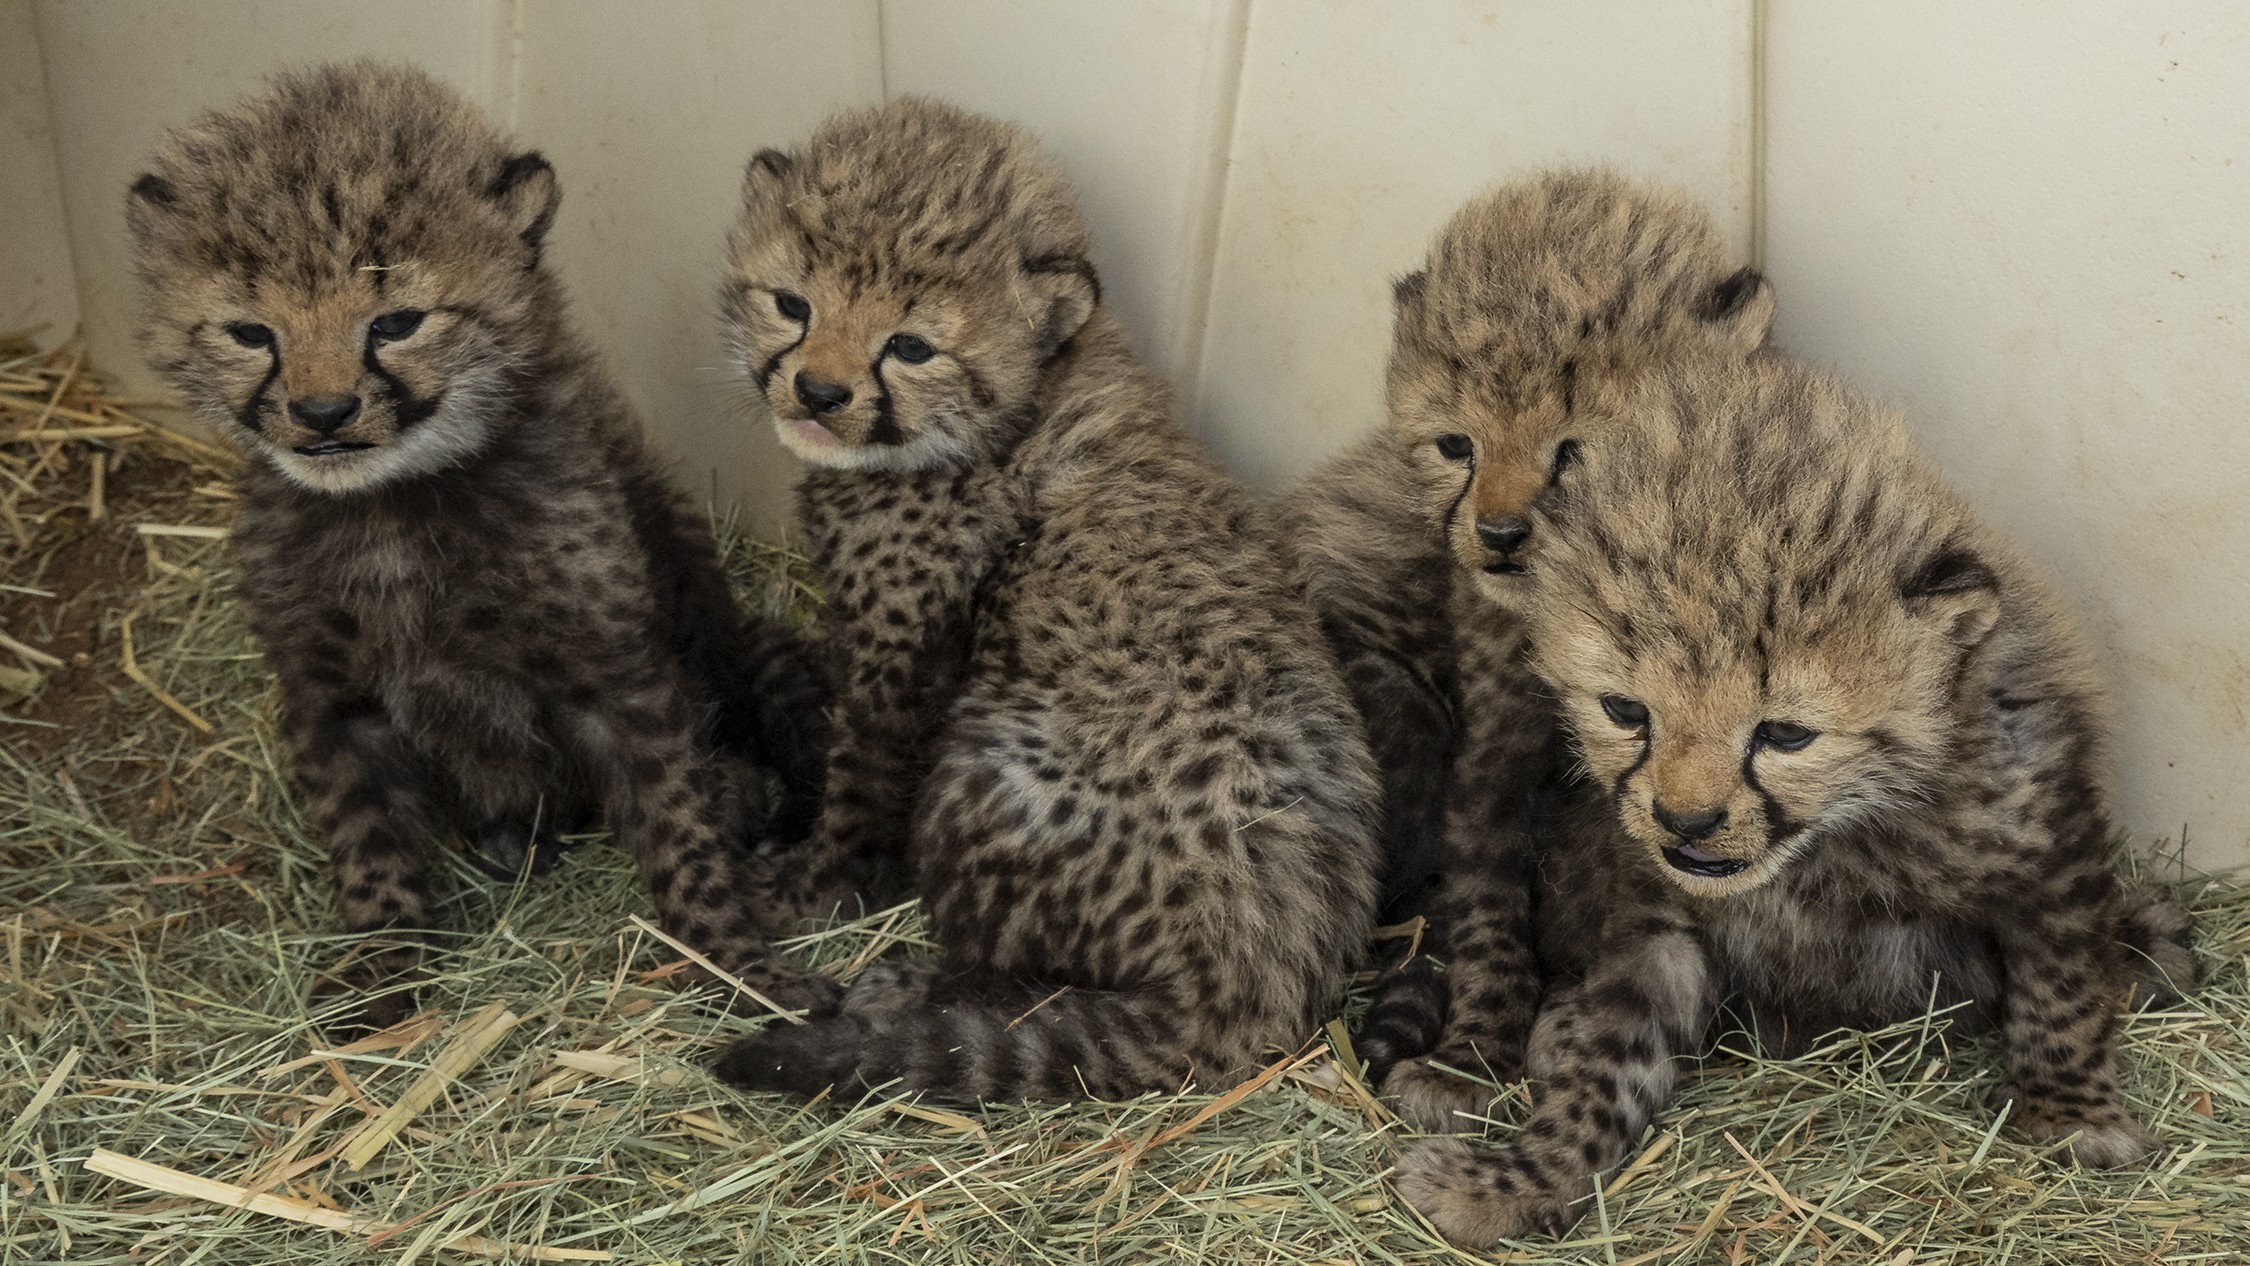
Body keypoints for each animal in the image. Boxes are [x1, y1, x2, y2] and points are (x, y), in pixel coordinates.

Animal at [126, 62, 835, 1032]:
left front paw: (738, 960)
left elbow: (679, 828)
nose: (322, 414)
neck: (392, 506)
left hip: (746, 645)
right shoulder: (332, 698)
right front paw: (384, 971)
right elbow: (369, 843)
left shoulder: (615, 675)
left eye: (395, 323)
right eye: (250, 332)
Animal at [706, 98, 1382, 1103]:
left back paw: (907, 987)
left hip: (983, 774)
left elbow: (861, 788)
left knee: (1020, 974)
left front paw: (810, 886)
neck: (1018, 406)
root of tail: (1258, 981)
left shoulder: (903, 657)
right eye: (793, 303)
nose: (818, 392)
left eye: (910, 345)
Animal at [1287, 171, 1775, 1105]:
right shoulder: (1485, 776)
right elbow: (1487, 918)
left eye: (1575, 451)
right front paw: (1472, 1051)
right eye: (1457, 444)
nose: (1501, 534)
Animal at [1393, 355, 2199, 1246]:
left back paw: (2152, 948)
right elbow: (1604, 1071)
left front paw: (2071, 1113)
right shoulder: (1657, 926)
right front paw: (1518, 1178)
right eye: (1626, 710)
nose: (1687, 822)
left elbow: (2061, 986)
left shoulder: (2046, 841)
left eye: (1784, 734)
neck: (1832, 840)